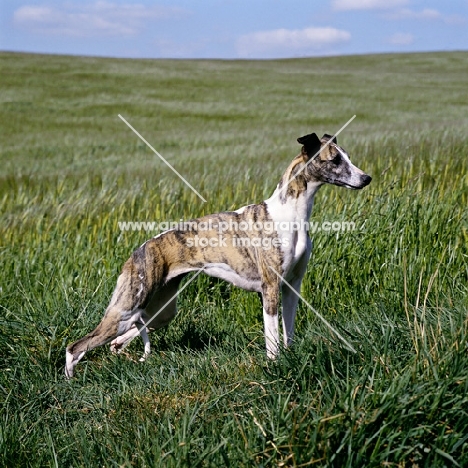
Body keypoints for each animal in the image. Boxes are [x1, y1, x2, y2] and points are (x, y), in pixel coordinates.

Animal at [66, 131, 372, 376]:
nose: (367, 178)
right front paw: (274, 366)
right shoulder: (270, 288)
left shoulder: (291, 287)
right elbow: (273, 338)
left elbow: (289, 335)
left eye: (347, 156)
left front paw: (290, 357)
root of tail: (138, 250)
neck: (290, 215)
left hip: (159, 311)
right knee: (75, 346)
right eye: (335, 160)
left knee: (118, 341)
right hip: (127, 307)